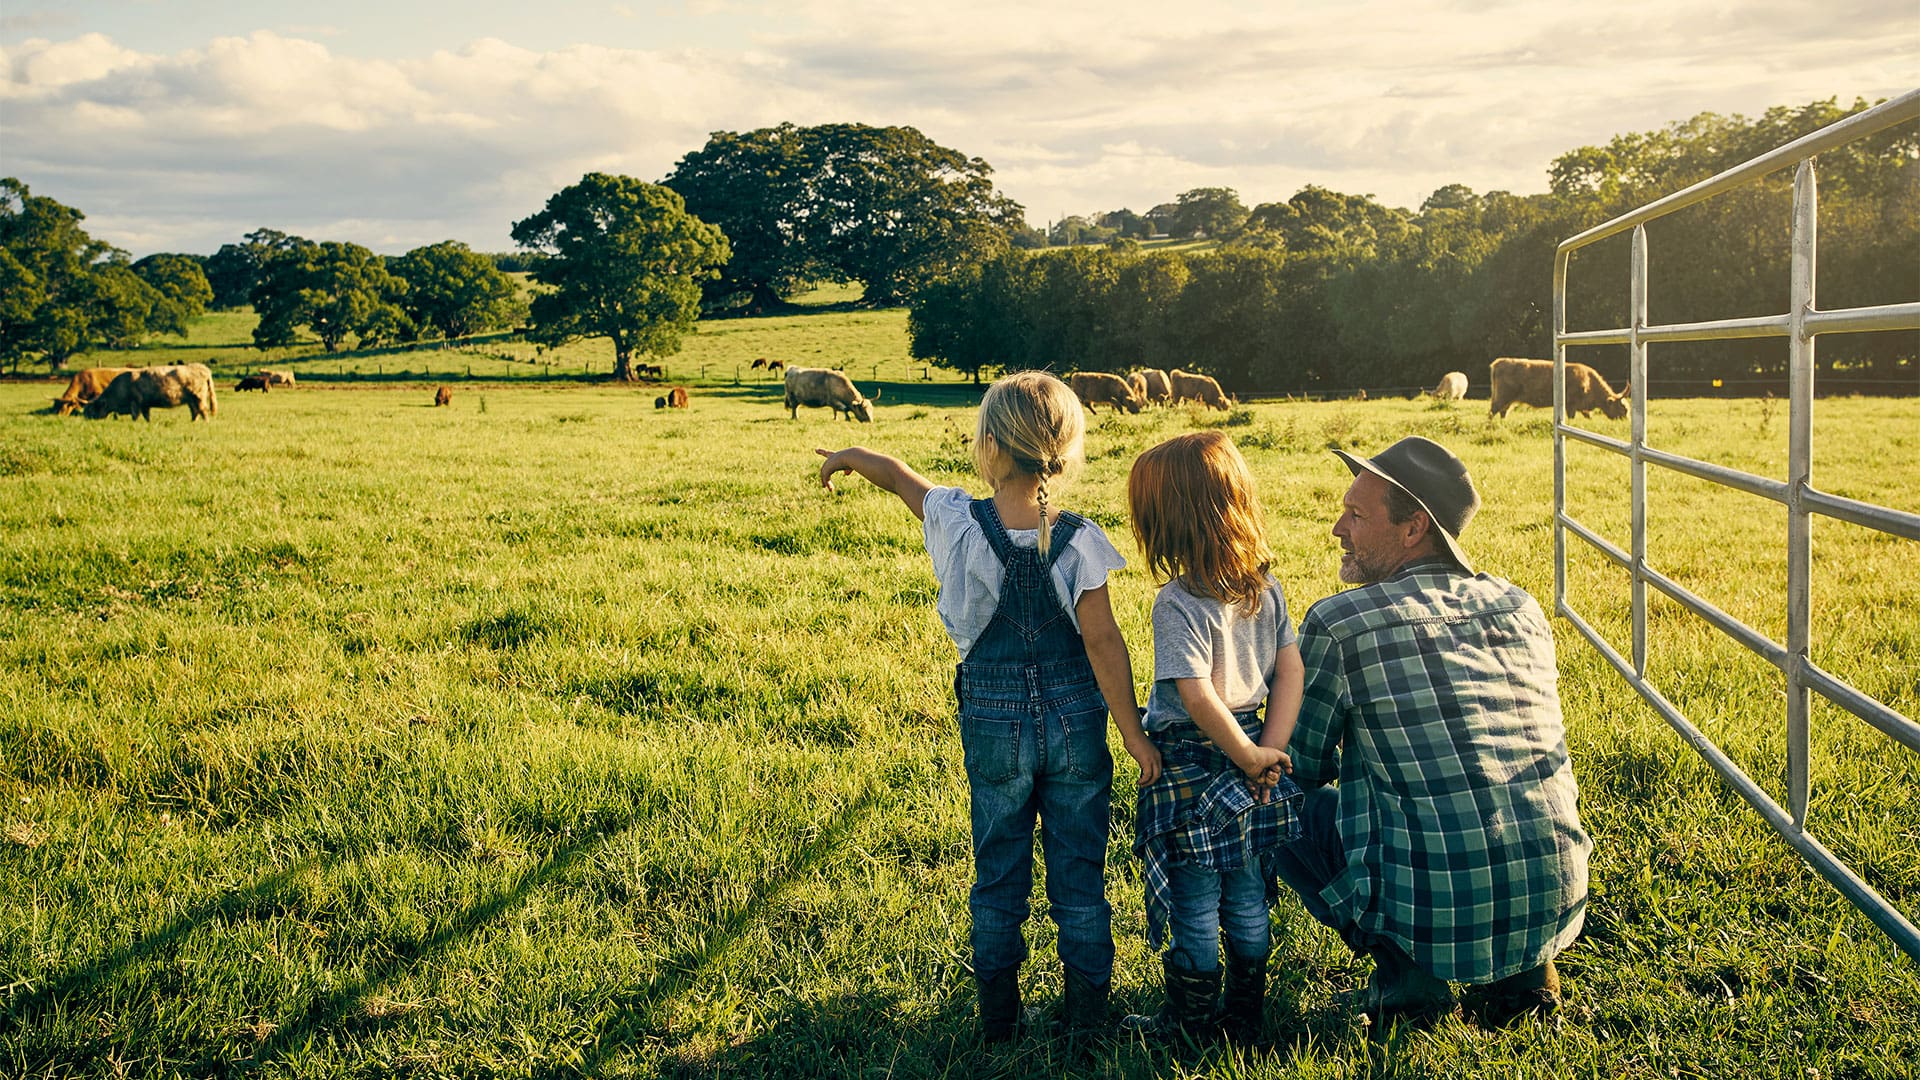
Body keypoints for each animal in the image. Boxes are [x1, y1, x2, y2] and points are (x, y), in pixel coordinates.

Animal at [85, 365, 218, 424]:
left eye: (91, 409)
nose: (86, 419)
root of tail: (202, 367)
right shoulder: (145, 405)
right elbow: (146, 416)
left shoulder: (135, 403)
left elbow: (135, 415)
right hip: (191, 400)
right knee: (195, 411)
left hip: (198, 397)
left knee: (203, 410)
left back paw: (205, 423)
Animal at [1489, 355, 1628, 418]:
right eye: (1623, 409)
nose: (1625, 420)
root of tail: (1499, 362)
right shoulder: (1571, 405)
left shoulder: (1583, 408)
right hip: (1503, 396)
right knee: (1493, 411)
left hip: (1507, 400)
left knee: (1503, 411)